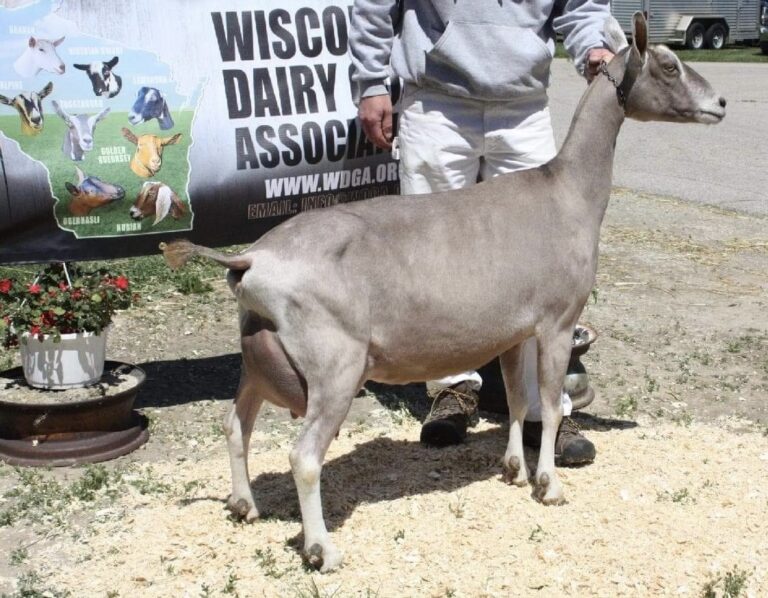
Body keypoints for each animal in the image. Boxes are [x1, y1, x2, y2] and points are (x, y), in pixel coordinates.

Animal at [161, 13, 725, 572]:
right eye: (669, 65)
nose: (719, 104)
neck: (567, 193)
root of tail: (251, 260)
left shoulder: (514, 329)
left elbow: (517, 399)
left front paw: (514, 469)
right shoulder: (558, 320)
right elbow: (549, 402)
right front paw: (549, 485)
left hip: (256, 355)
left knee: (236, 423)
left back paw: (244, 505)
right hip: (334, 364)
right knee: (303, 456)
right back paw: (323, 550)